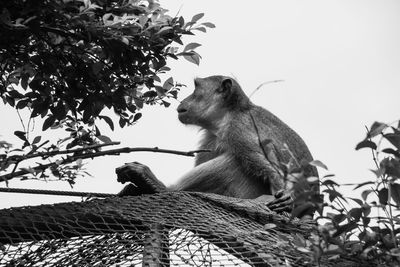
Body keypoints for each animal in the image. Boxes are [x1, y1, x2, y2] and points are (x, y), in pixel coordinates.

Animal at [116, 75, 318, 216]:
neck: (228, 115)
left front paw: (284, 194)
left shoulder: (238, 129)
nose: (183, 101)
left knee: (235, 161)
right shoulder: (211, 136)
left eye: (196, 88)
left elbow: (268, 165)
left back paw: (162, 187)